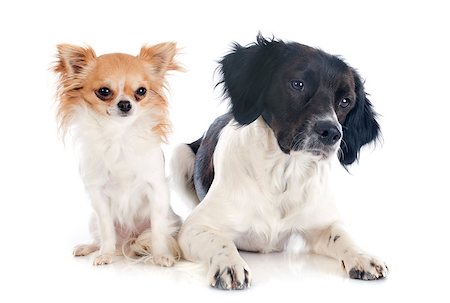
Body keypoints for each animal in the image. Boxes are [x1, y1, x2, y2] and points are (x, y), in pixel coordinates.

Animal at [172, 36, 386, 292]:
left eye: (345, 101)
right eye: (297, 84)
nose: (332, 133)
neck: (283, 173)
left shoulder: (322, 224)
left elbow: (342, 235)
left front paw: (363, 256)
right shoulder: (195, 227)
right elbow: (220, 241)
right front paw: (229, 264)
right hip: (178, 154)